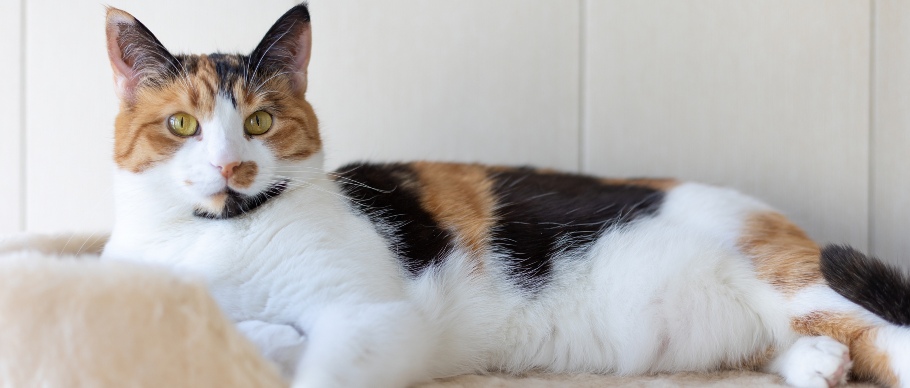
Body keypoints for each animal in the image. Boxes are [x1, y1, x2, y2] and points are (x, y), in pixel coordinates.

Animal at [101, 3, 910, 388]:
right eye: (182, 125)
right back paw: (817, 364)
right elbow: (255, 335)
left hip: (799, 280)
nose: (230, 167)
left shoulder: (372, 317)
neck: (218, 234)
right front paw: (265, 338)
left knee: (883, 334)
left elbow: (325, 364)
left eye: (259, 122)